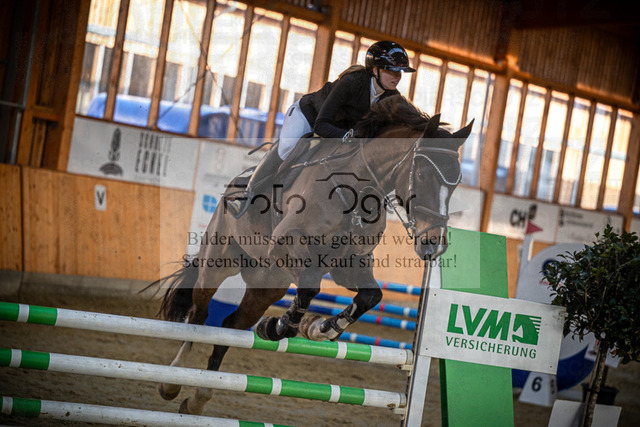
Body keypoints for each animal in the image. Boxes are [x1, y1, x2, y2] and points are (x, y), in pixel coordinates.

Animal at [149, 95, 473, 415]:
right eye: (422, 174)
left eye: (456, 183)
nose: (434, 244)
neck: (356, 191)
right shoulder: (288, 247)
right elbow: (309, 288)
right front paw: (281, 326)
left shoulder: (349, 264)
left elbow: (371, 296)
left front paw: (324, 328)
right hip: (218, 262)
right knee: (200, 314)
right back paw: (172, 382)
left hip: (268, 284)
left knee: (230, 325)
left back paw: (199, 396)